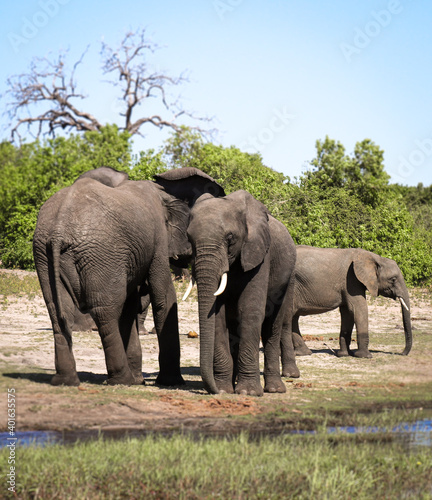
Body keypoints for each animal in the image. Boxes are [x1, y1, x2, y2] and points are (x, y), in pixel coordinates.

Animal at [181, 189, 298, 396]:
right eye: (190, 239)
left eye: (229, 238)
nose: (213, 390)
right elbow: (217, 316)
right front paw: (224, 389)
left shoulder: (259, 254)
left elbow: (250, 311)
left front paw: (248, 392)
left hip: (286, 279)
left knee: (273, 325)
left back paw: (275, 389)